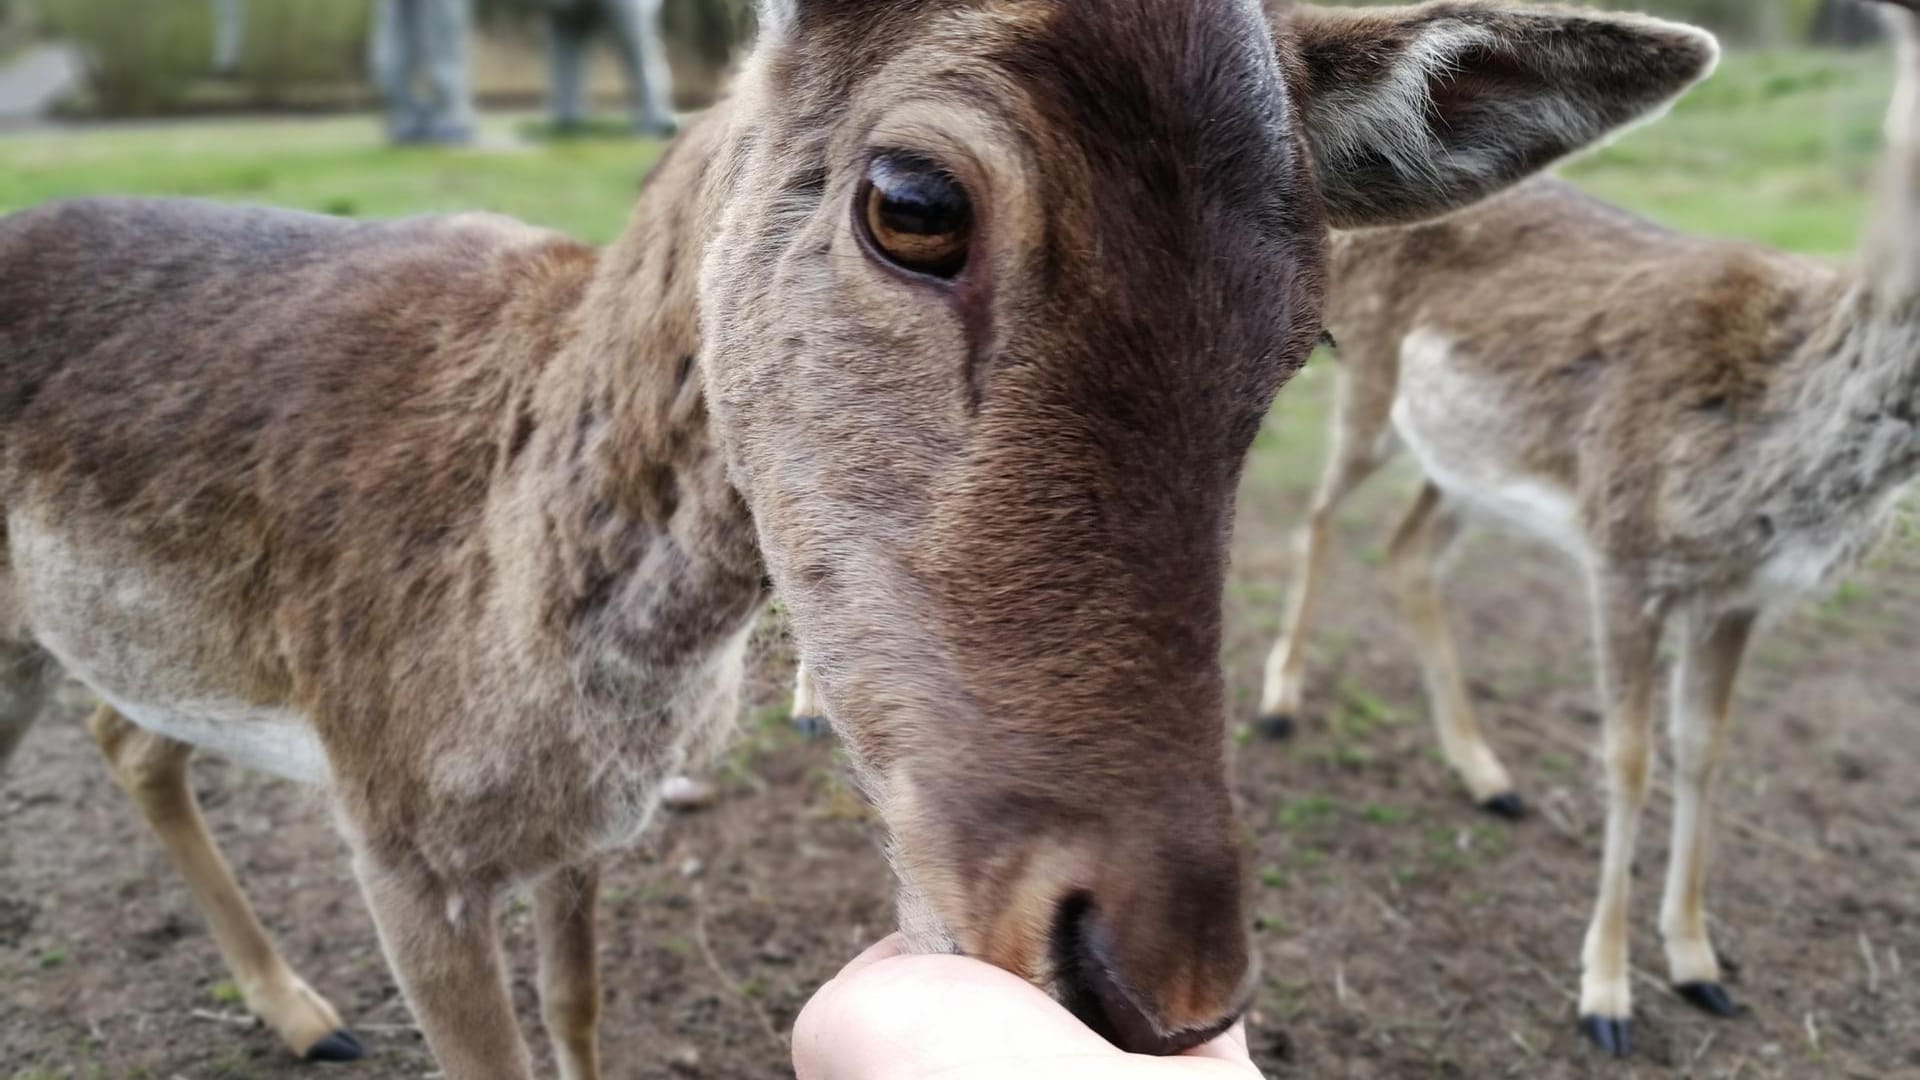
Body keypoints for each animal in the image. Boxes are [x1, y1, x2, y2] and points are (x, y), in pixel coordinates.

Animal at [0, 2, 1712, 1076]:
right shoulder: (398, 842)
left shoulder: (583, 840)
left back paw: (298, 1010)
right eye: (911, 199)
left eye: (1310, 325)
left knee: (128, 733)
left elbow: (584, 1019)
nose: (1156, 986)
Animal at [1251, 0, 1920, 1060]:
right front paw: (1605, 996)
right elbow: (1628, 756)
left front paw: (1699, 963)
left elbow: (1707, 748)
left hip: (1465, 465)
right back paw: (1279, 703)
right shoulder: (1622, 550)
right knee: (1319, 521)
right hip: (1369, 392)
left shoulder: (1740, 595)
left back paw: (1487, 773)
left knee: (1406, 553)